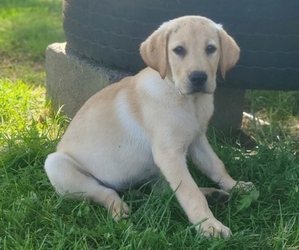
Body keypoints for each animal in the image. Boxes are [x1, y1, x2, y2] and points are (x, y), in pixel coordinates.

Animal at [45, 15, 254, 238]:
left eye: (211, 48)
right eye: (179, 50)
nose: (198, 77)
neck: (188, 100)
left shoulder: (198, 140)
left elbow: (215, 166)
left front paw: (236, 185)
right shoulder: (169, 154)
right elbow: (189, 193)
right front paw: (209, 226)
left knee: (162, 191)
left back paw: (213, 194)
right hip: (57, 165)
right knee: (104, 191)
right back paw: (118, 208)